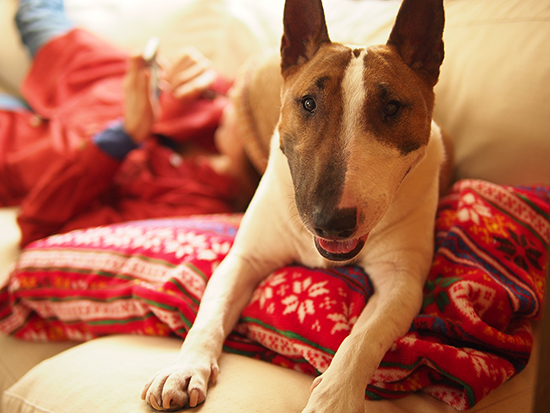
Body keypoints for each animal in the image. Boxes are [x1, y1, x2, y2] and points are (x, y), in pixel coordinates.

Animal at [144, 0, 446, 410]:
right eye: (308, 103)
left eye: (392, 108)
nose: (331, 222)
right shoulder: (245, 259)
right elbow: (209, 313)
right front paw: (183, 369)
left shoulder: (402, 280)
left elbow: (363, 339)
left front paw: (334, 398)